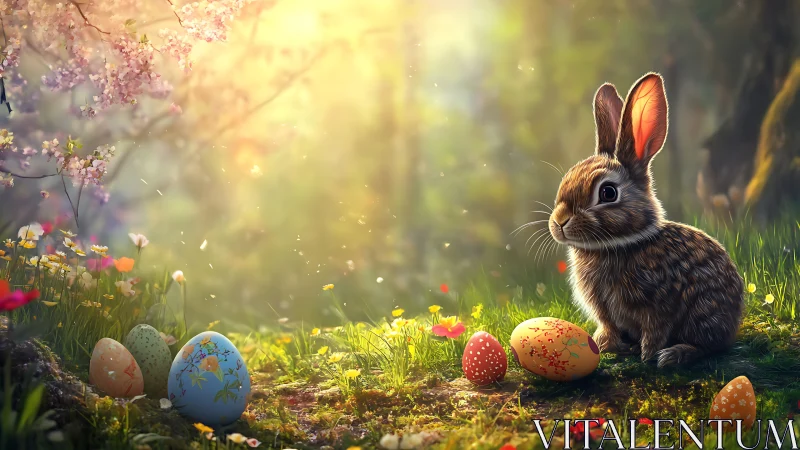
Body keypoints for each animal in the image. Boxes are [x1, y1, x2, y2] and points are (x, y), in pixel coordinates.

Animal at [547, 72, 745, 368]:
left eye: (608, 193)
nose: (559, 221)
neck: (620, 245)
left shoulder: (660, 304)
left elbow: (656, 329)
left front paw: (648, 356)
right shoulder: (605, 311)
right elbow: (609, 326)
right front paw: (603, 345)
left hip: (704, 313)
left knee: (710, 345)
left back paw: (675, 354)